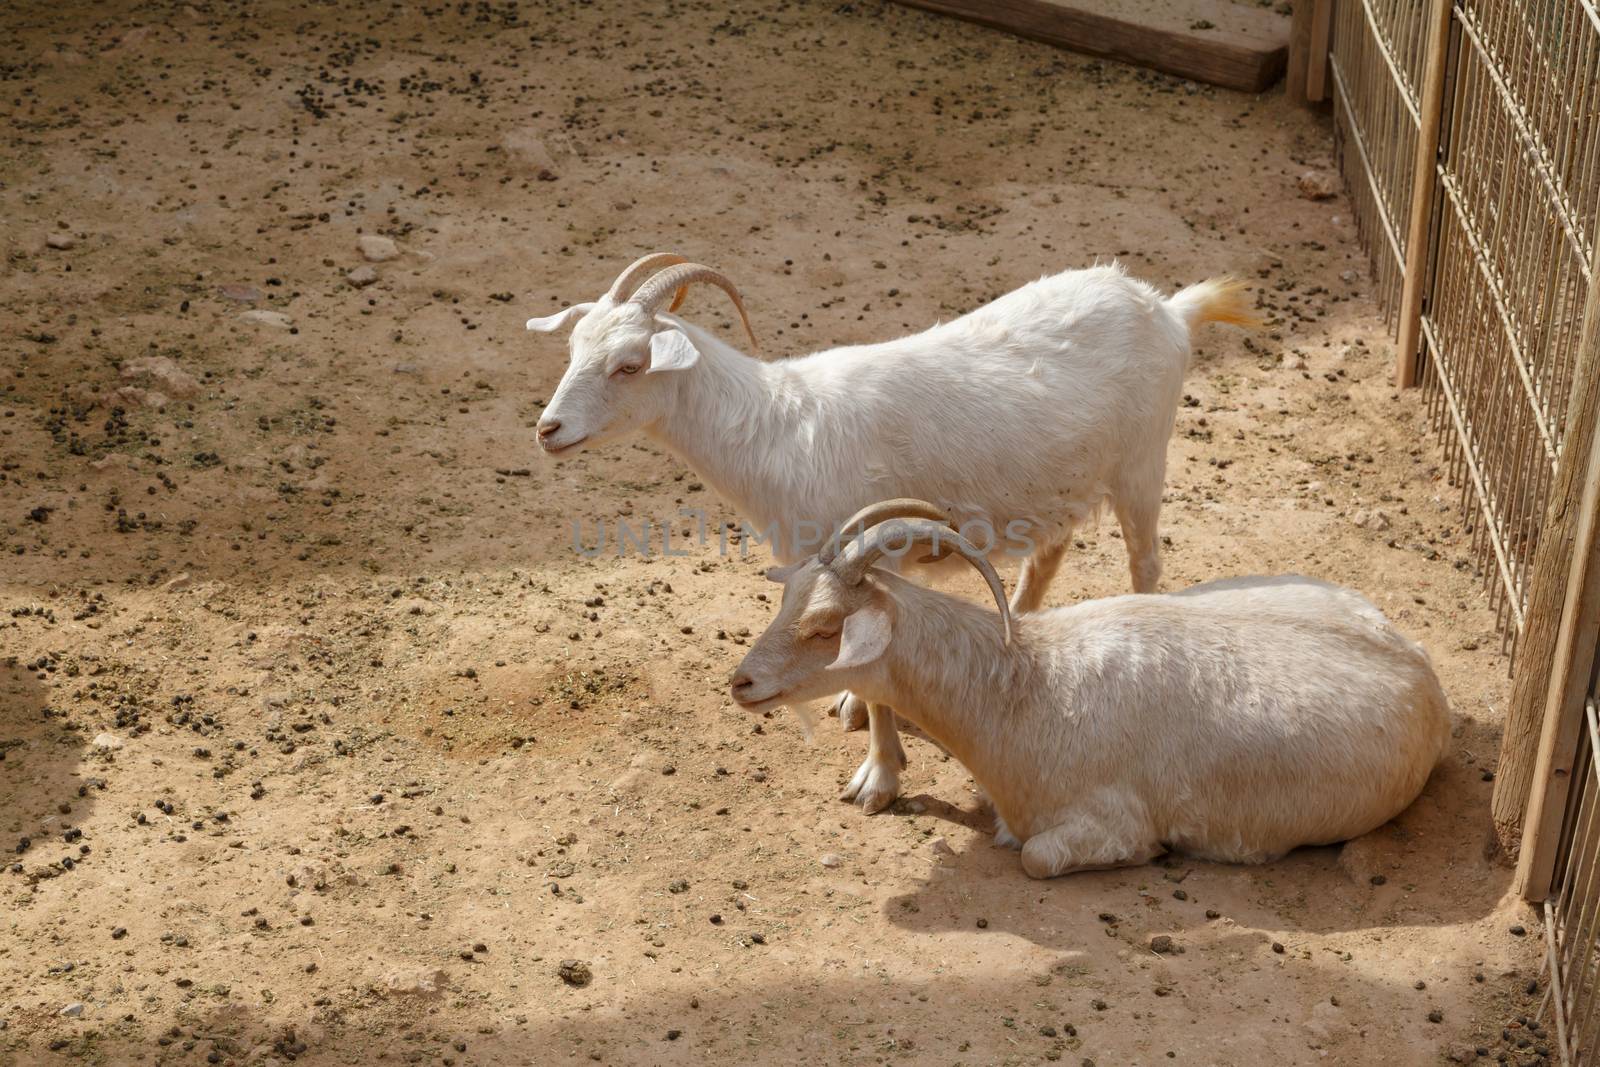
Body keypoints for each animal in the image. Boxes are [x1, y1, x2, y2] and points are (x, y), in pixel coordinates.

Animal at [531, 254, 1254, 812]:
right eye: (572, 349)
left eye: (629, 364)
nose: (548, 430)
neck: (778, 429)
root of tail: (1168, 308)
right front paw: (853, 706)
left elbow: (883, 675)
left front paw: (876, 779)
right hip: (1057, 486)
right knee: (1046, 557)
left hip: (1142, 463)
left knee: (1146, 563)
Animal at [732, 505, 1459, 883]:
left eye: (825, 625)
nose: (741, 682)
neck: (1028, 687)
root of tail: (1420, 665)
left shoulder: (1109, 819)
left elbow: (1037, 856)